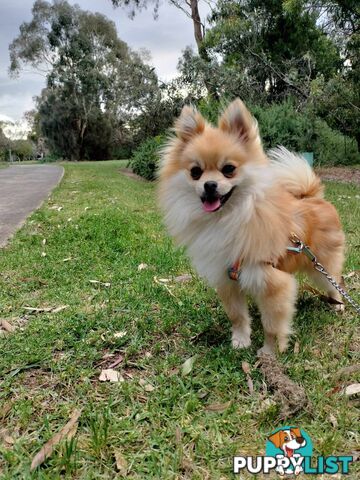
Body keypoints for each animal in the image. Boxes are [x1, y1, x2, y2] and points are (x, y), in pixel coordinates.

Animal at [159, 98, 344, 352]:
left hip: (322, 265)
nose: (209, 185)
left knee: (335, 281)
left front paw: (270, 352)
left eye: (228, 169)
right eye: (195, 172)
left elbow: (273, 324)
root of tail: (313, 197)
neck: (230, 218)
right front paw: (240, 340)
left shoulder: (274, 283)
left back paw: (337, 304)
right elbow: (237, 315)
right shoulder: (227, 279)